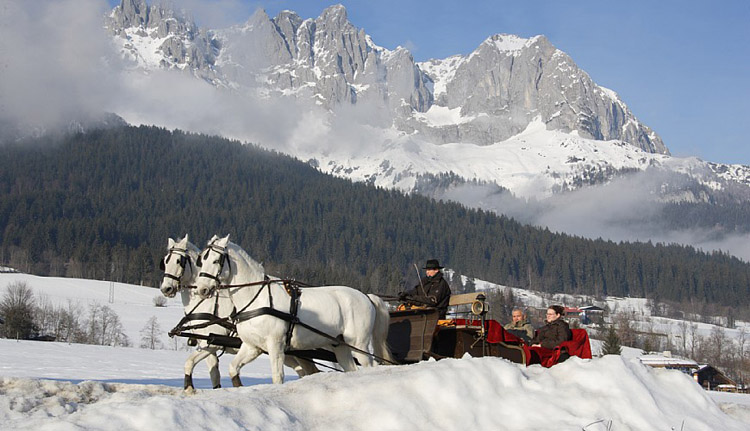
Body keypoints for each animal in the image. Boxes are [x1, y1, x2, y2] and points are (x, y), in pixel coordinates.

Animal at [160, 235, 318, 394]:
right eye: (165, 261)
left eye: (179, 261)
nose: (166, 288)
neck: (206, 304)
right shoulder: (208, 345)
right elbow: (213, 374)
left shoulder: (211, 344)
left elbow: (190, 362)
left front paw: (189, 388)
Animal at [194, 235, 396, 386]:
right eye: (201, 260)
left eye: (216, 260)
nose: (201, 289)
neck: (257, 297)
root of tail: (366, 296)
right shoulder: (252, 346)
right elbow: (233, 368)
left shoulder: (275, 345)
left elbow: (278, 377)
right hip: (341, 346)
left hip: (359, 344)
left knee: (370, 365)